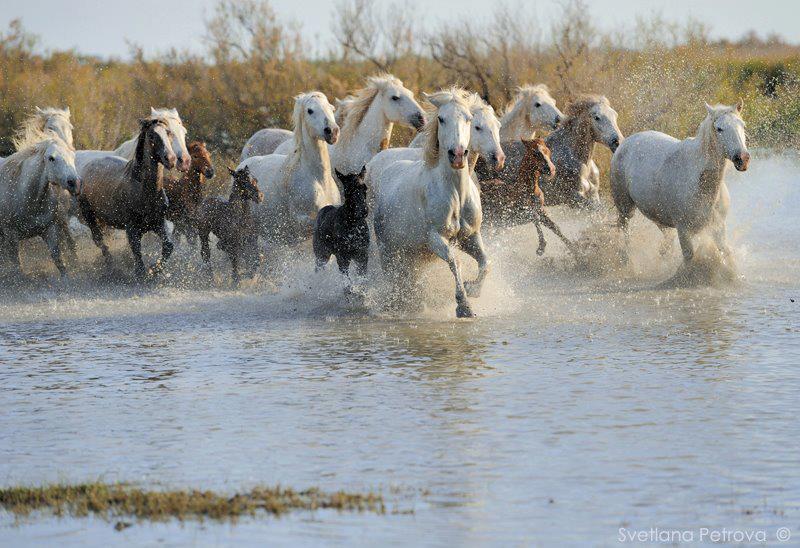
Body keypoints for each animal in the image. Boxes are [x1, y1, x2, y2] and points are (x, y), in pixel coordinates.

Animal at [0, 133, 80, 278]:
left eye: (73, 156)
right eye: (51, 158)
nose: (74, 183)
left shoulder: (49, 229)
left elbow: (58, 260)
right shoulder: (11, 235)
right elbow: (17, 266)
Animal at [77, 118, 177, 280]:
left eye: (168, 133)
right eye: (152, 136)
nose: (171, 159)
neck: (145, 193)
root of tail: (87, 166)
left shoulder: (158, 223)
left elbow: (168, 246)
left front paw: (154, 270)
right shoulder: (131, 228)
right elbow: (137, 252)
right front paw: (142, 273)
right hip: (89, 215)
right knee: (99, 241)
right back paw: (111, 265)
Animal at [236, 91, 340, 245]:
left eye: (331, 108)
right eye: (310, 110)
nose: (332, 131)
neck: (320, 181)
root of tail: (242, 165)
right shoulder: (300, 222)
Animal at [374, 88, 488, 318]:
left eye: (469, 119)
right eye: (442, 119)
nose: (458, 155)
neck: (456, 195)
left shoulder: (471, 235)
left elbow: (485, 262)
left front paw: (473, 289)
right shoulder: (435, 237)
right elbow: (455, 262)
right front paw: (464, 306)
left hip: (411, 253)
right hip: (387, 248)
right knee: (392, 276)